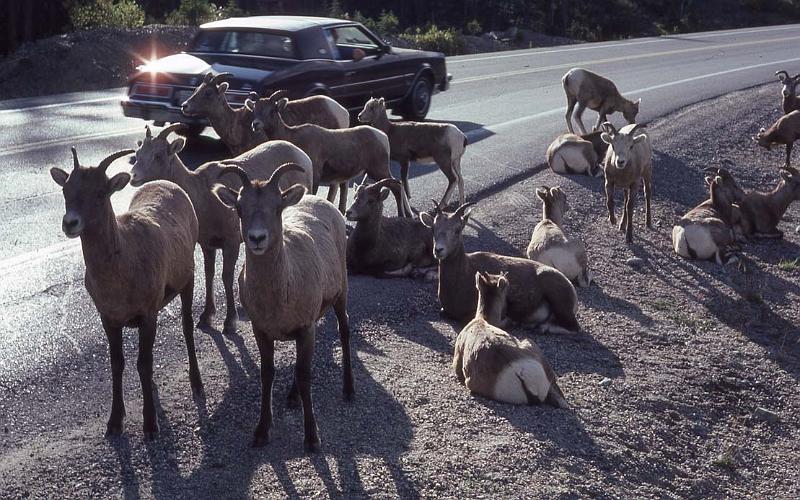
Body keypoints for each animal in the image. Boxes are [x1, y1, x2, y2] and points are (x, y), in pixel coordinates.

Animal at [50, 147, 201, 438]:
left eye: (101, 193)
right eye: (66, 190)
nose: (70, 223)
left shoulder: (148, 315)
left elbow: (143, 363)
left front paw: (150, 426)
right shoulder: (109, 319)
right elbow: (118, 363)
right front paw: (114, 423)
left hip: (188, 280)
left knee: (187, 326)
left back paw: (197, 383)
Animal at [131, 123, 313, 336]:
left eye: (158, 155)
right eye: (138, 153)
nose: (133, 177)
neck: (203, 195)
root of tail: (302, 155)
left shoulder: (231, 243)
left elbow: (226, 276)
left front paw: (229, 322)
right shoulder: (207, 245)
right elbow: (209, 274)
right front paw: (206, 317)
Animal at [211, 164, 353, 452]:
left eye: (277, 207)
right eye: (239, 208)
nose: (257, 238)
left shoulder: (306, 329)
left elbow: (304, 374)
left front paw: (312, 438)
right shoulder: (262, 331)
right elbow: (268, 375)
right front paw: (262, 431)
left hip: (341, 292)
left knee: (344, 330)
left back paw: (348, 390)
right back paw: (292, 397)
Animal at [249, 95, 412, 217]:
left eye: (272, 109)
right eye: (255, 109)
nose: (255, 124)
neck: (292, 136)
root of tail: (382, 137)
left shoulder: (315, 176)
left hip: (378, 170)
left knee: (396, 186)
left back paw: (404, 215)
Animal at [419, 201, 580, 333]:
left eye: (457, 229)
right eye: (433, 228)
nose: (438, 250)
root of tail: (571, 290)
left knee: (573, 327)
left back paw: (540, 327)